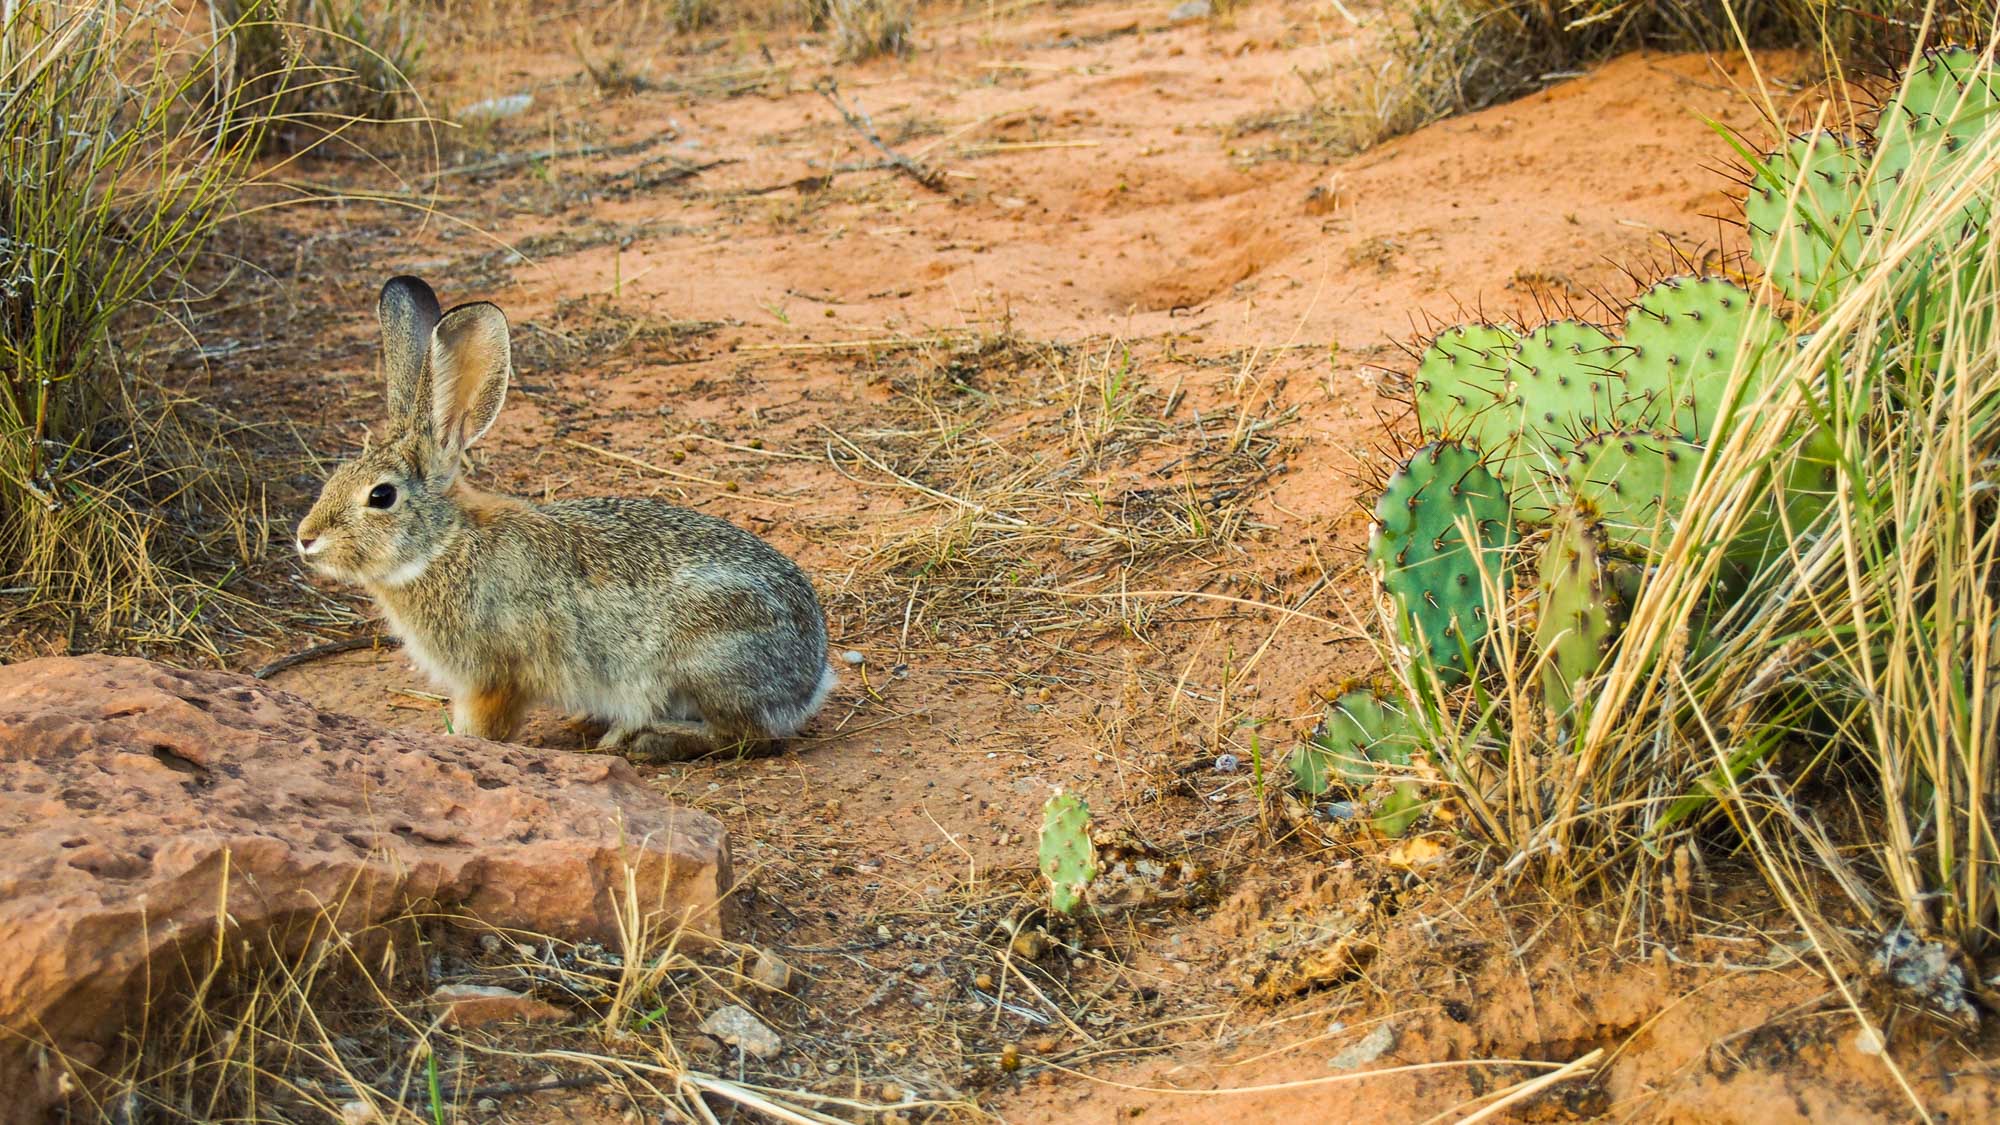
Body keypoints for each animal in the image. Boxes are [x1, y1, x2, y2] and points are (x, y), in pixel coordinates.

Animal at [294, 276, 835, 761]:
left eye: (381, 496)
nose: (306, 539)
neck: (443, 544)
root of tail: (811, 675)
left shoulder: (492, 675)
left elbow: (485, 726)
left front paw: (459, 743)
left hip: (706, 659)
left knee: (750, 737)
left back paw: (643, 741)